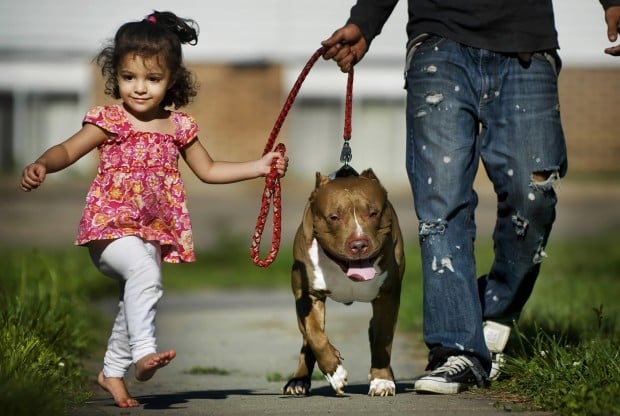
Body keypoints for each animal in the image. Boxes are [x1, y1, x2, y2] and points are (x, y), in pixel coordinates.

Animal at [282, 168, 406, 396]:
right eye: (334, 217)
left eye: (373, 213)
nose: (359, 244)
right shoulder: (307, 295)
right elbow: (315, 335)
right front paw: (335, 372)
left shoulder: (388, 296)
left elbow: (383, 338)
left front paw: (382, 380)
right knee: (307, 339)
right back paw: (298, 381)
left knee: (375, 332)